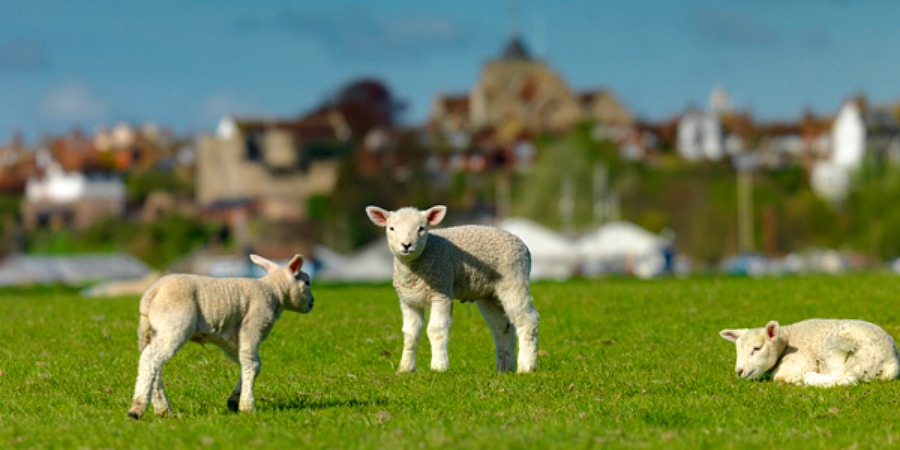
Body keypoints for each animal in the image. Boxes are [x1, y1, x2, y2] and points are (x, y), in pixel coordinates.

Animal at [126, 253, 314, 418]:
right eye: (307, 282)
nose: (312, 303)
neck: (273, 291)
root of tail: (152, 293)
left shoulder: (229, 338)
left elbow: (249, 362)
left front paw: (234, 400)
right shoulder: (253, 325)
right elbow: (252, 363)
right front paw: (247, 406)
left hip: (150, 332)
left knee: (153, 365)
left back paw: (162, 409)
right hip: (174, 326)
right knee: (150, 359)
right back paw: (137, 409)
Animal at [362, 204, 536, 372]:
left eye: (421, 228)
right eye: (391, 228)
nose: (406, 245)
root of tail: (523, 245)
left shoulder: (441, 292)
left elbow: (436, 330)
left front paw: (439, 366)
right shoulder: (408, 301)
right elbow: (410, 334)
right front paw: (405, 368)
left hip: (514, 279)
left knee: (527, 320)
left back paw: (526, 366)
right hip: (490, 294)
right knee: (503, 327)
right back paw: (505, 367)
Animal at [716, 318, 900, 388]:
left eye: (757, 348)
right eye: (738, 350)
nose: (739, 371)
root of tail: (891, 359)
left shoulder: (802, 361)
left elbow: (778, 376)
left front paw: (796, 379)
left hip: (840, 349)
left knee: (846, 378)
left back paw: (809, 378)